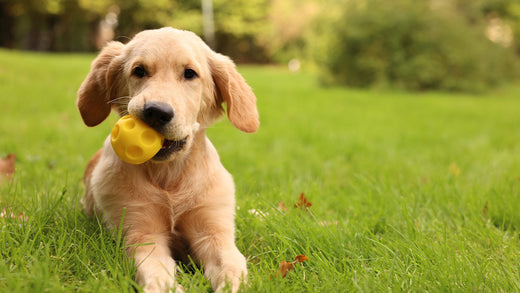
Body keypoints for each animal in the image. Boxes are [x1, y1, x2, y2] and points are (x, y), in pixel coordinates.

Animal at [76, 27, 258, 292]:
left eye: (190, 73)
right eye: (139, 70)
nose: (156, 112)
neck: (169, 175)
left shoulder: (214, 233)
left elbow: (232, 268)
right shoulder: (141, 233)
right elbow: (157, 273)